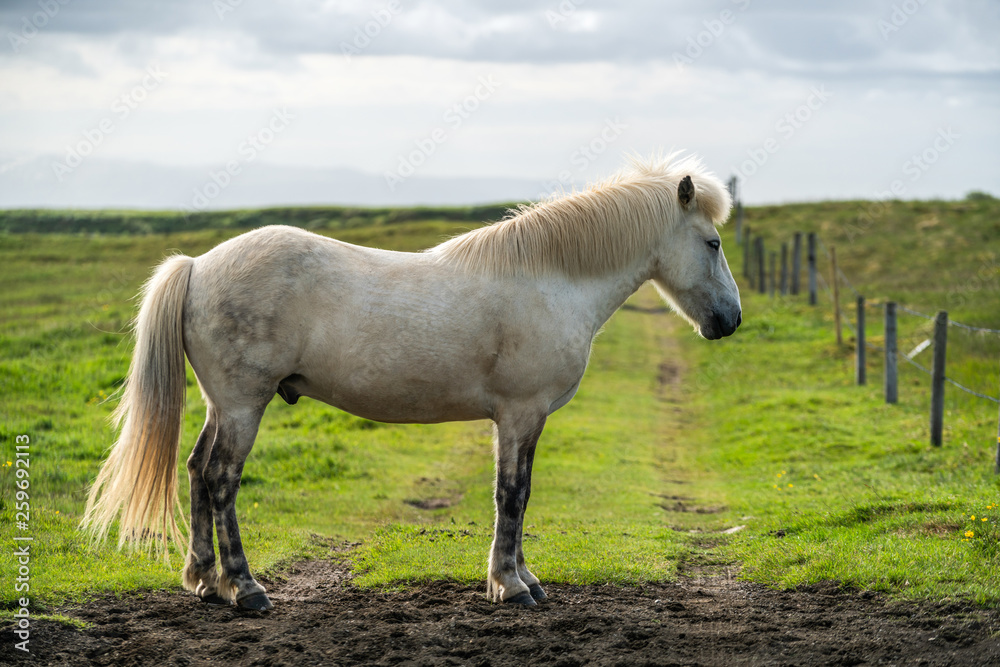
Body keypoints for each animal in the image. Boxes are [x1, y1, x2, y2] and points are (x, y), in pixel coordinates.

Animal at [82, 155, 744, 612]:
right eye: (712, 243)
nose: (730, 320)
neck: (549, 279)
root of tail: (197, 266)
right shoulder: (521, 414)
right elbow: (513, 495)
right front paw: (510, 585)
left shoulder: (519, 420)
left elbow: (517, 495)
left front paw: (522, 578)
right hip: (244, 406)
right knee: (221, 479)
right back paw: (245, 589)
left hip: (223, 406)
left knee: (197, 471)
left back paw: (204, 581)